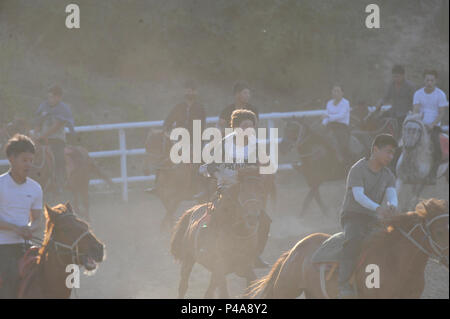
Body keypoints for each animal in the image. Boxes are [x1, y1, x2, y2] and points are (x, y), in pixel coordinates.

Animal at [171, 170, 270, 300]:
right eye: (242, 192)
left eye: (262, 193)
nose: (252, 217)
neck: (238, 234)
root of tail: (193, 210)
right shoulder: (220, 267)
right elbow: (224, 292)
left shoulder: (244, 267)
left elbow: (251, 284)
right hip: (189, 259)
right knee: (183, 286)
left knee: (209, 291)